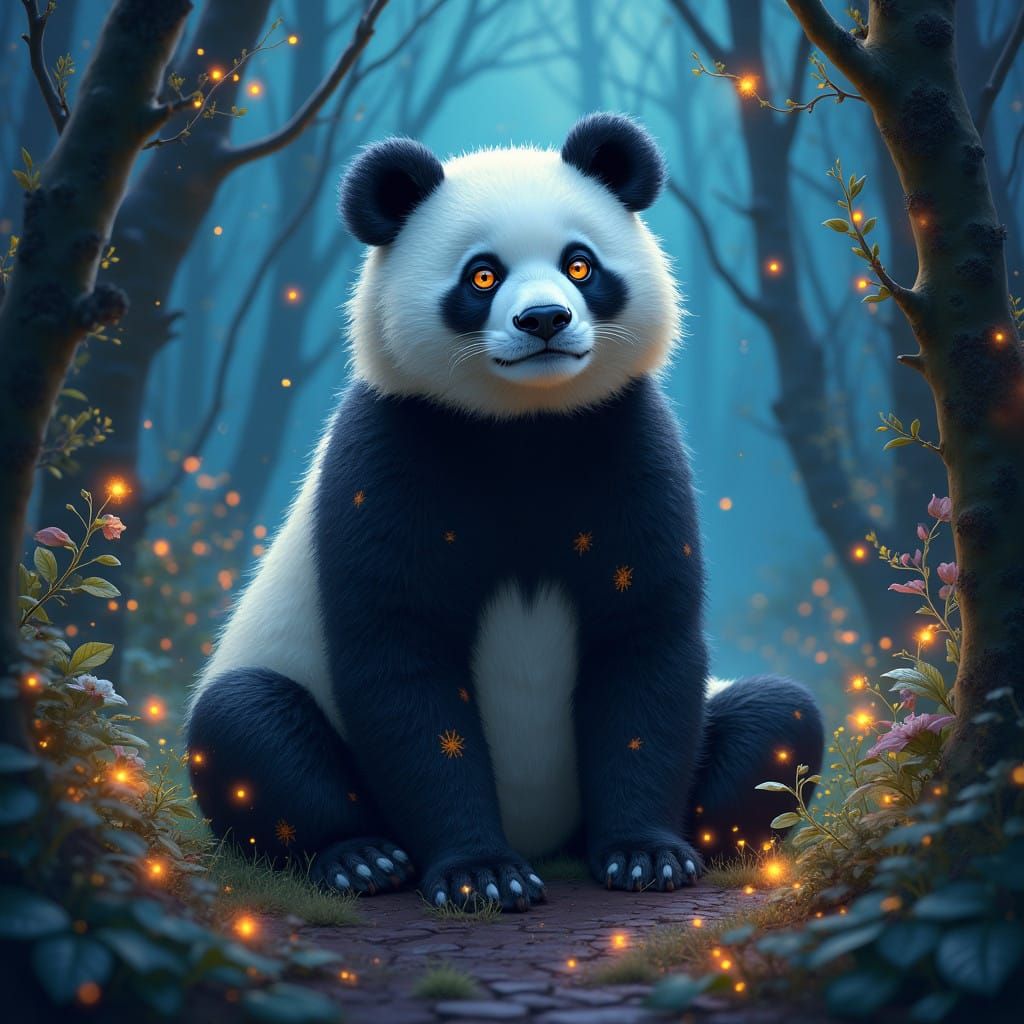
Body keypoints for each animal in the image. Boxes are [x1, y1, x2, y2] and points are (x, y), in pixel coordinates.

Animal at [186, 113, 823, 912]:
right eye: (481, 275)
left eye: (580, 264)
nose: (544, 319)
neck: (527, 421)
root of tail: (544, 835)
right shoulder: (394, 449)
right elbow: (400, 652)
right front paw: (481, 874)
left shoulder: (626, 440)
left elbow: (644, 635)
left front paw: (645, 856)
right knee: (247, 724)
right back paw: (361, 859)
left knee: (779, 718)